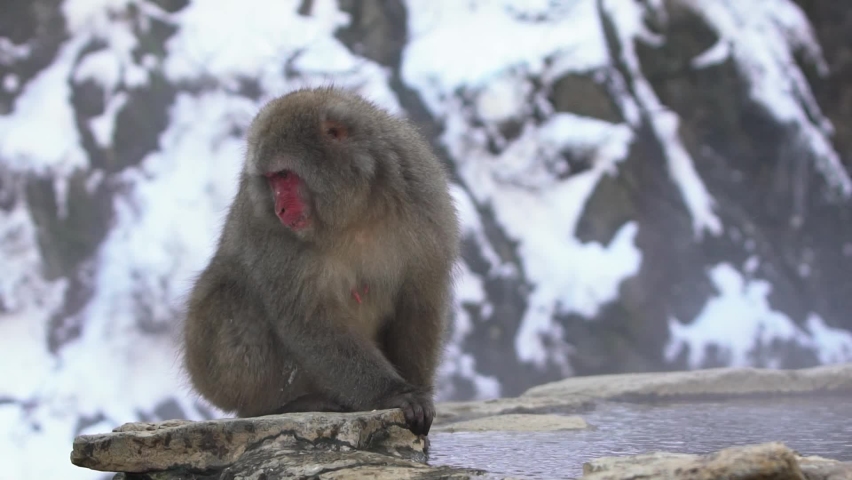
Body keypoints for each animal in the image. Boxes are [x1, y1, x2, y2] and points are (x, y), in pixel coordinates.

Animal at [181, 86, 460, 437]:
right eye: (271, 180)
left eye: (284, 175)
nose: (280, 209)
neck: (354, 213)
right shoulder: (269, 233)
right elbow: (309, 318)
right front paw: (394, 394)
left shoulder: (423, 201)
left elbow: (419, 300)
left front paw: (419, 393)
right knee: (232, 298)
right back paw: (279, 406)